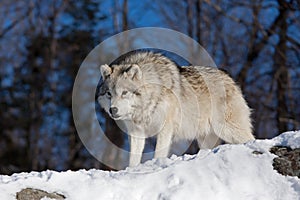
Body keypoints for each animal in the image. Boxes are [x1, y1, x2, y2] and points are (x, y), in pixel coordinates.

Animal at [98, 51, 253, 167]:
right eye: (109, 94)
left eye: (124, 93)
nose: (113, 110)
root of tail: (228, 78)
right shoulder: (136, 132)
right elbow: (133, 159)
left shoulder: (165, 129)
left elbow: (159, 153)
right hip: (206, 138)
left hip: (228, 130)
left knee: (250, 138)